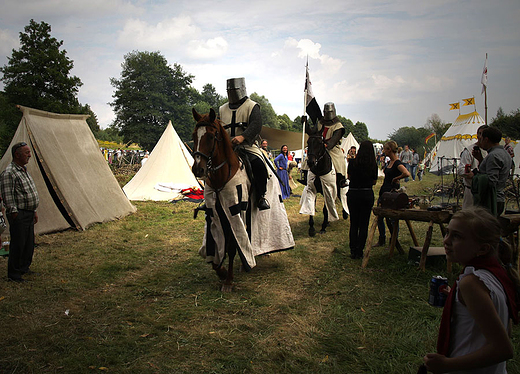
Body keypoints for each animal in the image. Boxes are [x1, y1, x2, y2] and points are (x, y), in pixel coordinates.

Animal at [191, 108, 244, 292]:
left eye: (211, 136)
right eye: (194, 135)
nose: (198, 169)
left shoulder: (234, 213)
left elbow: (232, 247)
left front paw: (228, 280)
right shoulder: (215, 215)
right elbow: (214, 244)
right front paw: (220, 271)